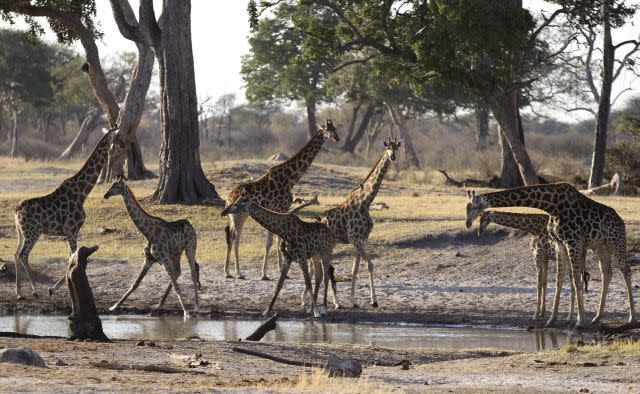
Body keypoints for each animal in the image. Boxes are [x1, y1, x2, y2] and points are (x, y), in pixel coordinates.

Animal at [14, 129, 117, 298]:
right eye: (117, 138)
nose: (120, 147)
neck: (82, 193)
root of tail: (16, 212)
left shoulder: (74, 231)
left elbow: (71, 256)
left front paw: (57, 287)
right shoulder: (70, 229)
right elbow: (72, 257)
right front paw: (52, 288)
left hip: (21, 233)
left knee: (16, 255)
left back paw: (19, 293)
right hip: (33, 232)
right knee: (23, 254)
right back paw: (34, 290)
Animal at [104, 179, 199, 318]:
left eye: (117, 186)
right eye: (111, 185)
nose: (106, 195)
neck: (148, 233)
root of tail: (190, 225)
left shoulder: (164, 259)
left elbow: (176, 287)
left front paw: (186, 312)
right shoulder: (148, 260)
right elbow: (135, 284)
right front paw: (114, 306)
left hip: (190, 248)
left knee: (192, 273)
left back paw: (196, 307)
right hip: (176, 253)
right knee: (178, 271)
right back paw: (159, 304)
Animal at [222, 120, 338, 280]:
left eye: (336, 128)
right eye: (328, 130)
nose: (337, 138)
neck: (290, 178)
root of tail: (228, 200)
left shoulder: (282, 209)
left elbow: (278, 239)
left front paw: (280, 269)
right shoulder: (276, 208)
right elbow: (269, 242)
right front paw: (264, 273)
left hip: (235, 216)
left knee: (229, 237)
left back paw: (227, 272)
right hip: (239, 215)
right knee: (236, 239)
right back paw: (238, 273)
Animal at [316, 138, 400, 308]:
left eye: (396, 148)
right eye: (387, 147)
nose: (393, 157)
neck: (365, 203)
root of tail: (319, 220)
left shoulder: (361, 239)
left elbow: (355, 269)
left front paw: (354, 300)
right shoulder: (355, 239)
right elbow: (370, 265)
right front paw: (374, 300)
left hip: (332, 244)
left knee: (328, 268)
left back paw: (335, 302)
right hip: (326, 244)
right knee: (326, 268)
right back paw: (335, 303)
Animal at [464, 183, 636, 328]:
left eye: (475, 207)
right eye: (467, 208)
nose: (468, 224)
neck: (551, 205)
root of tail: (621, 221)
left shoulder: (569, 243)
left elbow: (573, 281)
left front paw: (579, 321)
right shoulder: (560, 245)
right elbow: (558, 281)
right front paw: (551, 319)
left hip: (616, 242)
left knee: (626, 270)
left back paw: (631, 318)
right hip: (601, 247)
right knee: (606, 273)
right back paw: (597, 317)